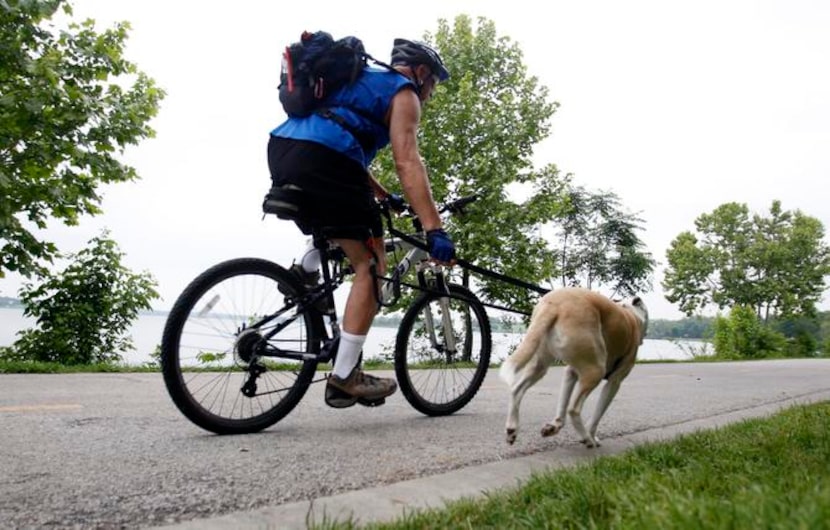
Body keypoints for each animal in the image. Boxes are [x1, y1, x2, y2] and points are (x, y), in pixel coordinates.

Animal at [500, 286, 648, 444]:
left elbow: (562, 403)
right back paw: (587, 438)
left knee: (517, 389)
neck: (631, 314)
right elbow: (597, 415)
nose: (637, 298)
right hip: (595, 370)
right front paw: (592, 436)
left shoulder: (570, 373)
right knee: (573, 409)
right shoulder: (614, 383)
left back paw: (512, 428)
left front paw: (555, 426)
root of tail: (554, 304)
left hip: (539, 365)